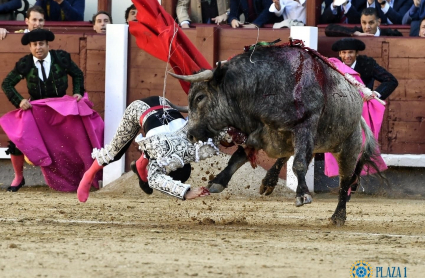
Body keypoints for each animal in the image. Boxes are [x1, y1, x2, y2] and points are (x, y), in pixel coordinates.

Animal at [171, 43, 382, 226]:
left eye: (200, 97)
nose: (190, 135)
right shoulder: (256, 133)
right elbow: (237, 158)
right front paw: (217, 182)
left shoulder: (304, 128)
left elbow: (299, 164)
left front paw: (302, 195)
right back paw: (268, 182)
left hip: (348, 146)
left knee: (345, 181)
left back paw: (338, 216)